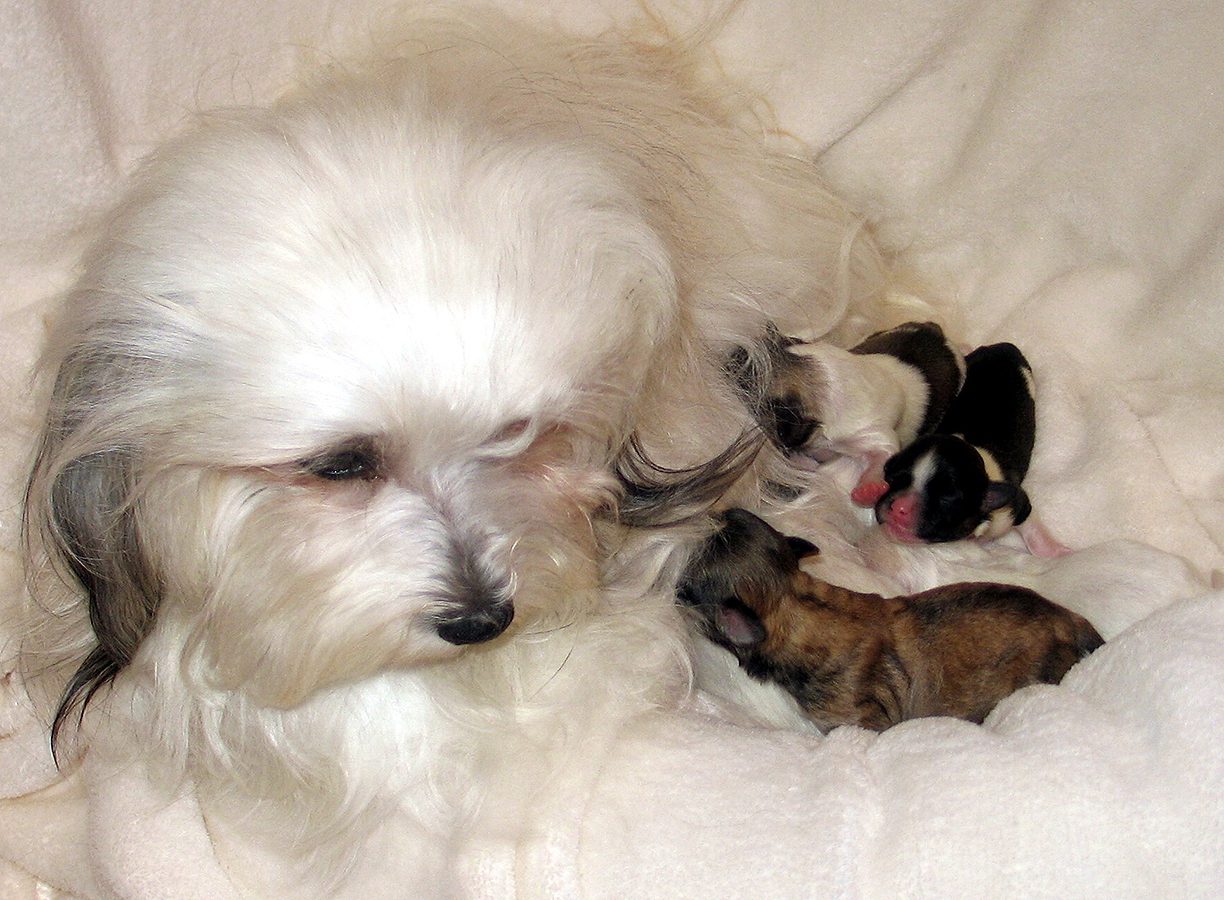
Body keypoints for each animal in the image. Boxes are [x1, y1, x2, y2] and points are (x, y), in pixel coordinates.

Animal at [724, 323, 964, 506]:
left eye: (745, 382)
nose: (730, 352)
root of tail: (937, 333)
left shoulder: (871, 432)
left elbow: (884, 452)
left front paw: (868, 488)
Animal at [871, 340, 1072, 555]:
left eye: (947, 498)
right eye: (892, 479)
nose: (899, 507)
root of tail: (1005, 346)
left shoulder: (1016, 503)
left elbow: (1031, 524)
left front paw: (1056, 551)